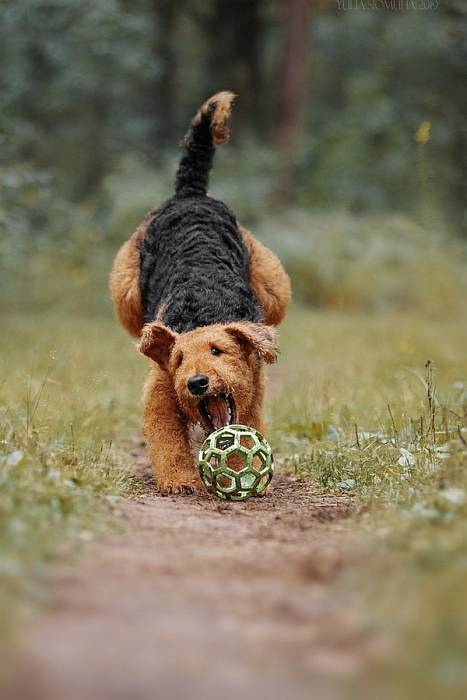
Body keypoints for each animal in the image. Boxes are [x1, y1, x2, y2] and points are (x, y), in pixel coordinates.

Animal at [111, 91, 290, 492]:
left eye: (217, 351)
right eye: (178, 359)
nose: (196, 382)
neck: (204, 313)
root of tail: (190, 193)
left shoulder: (252, 392)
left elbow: (246, 430)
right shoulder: (162, 391)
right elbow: (167, 439)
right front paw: (181, 481)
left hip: (274, 289)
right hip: (126, 293)